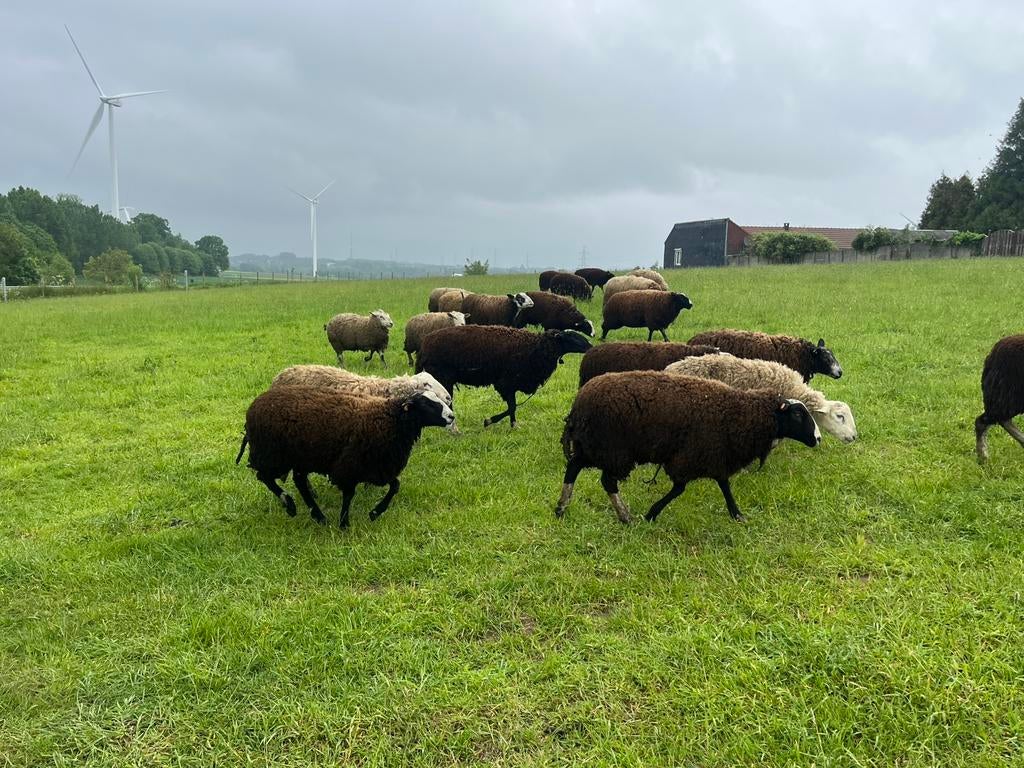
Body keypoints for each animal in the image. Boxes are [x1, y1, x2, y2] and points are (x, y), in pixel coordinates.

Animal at [236, 387, 455, 528]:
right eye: (427, 404)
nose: (452, 416)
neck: (390, 418)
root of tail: (253, 407)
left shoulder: (378, 466)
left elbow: (395, 486)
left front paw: (375, 513)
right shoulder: (350, 465)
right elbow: (349, 495)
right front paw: (344, 522)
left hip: (301, 456)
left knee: (299, 482)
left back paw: (318, 516)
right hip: (272, 454)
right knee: (265, 477)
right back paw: (289, 504)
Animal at [417, 325, 592, 428]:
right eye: (572, 337)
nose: (590, 346)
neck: (535, 348)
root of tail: (424, 345)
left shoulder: (511, 385)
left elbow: (512, 407)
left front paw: (513, 425)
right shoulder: (506, 383)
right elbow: (512, 406)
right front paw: (490, 421)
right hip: (441, 378)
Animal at [555, 372, 820, 524]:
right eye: (798, 414)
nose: (818, 438)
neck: (739, 413)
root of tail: (578, 404)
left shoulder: (716, 454)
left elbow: (724, 485)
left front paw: (737, 515)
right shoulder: (690, 456)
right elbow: (680, 488)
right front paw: (651, 514)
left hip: (593, 446)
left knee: (574, 467)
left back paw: (561, 508)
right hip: (612, 449)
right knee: (606, 481)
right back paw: (625, 517)